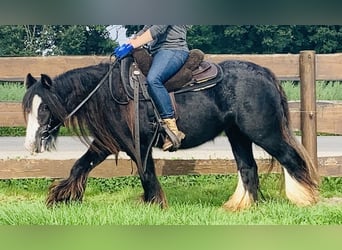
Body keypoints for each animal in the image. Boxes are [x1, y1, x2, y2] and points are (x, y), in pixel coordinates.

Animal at [23, 57, 318, 211]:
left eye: (45, 107)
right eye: (28, 107)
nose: (31, 145)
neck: (110, 92)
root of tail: (265, 73)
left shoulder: (138, 146)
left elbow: (147, 174)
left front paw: (154, 204)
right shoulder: (107, 143)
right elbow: (79, 166)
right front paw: (60, 198)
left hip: (264, 132)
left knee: (291, 160)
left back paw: (306, 199)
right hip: (238, 135)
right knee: (248, 168)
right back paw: (240, 206)